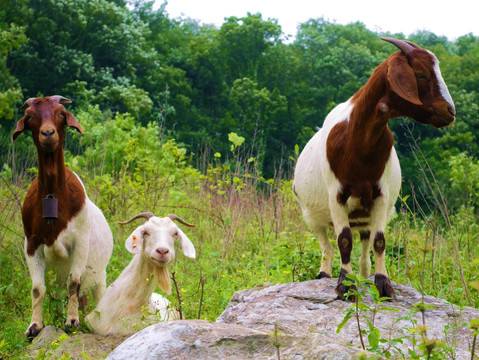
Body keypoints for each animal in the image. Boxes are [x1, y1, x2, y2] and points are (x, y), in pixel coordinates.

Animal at [12, 95, 114, 338]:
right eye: (29, 116)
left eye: (60, 112)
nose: (48, 133)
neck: (52, 193)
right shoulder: (32, 243)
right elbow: (37, 288)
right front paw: (34, 327)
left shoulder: (80, 242)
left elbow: (73, 282)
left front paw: (72, 322)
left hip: (100, 275)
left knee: (96, 295)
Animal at [294, 38, 456, 300]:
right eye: (420, 74)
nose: (450, 112)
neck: (357, 140)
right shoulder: (337, 194)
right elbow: (343, 240)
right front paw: (345, 285)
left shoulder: (380, 195)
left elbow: (379, 242)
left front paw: (383, 284)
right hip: (312, 215)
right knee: (326, 246)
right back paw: (324, 275)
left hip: (364, 217)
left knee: (363, 252)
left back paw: (363, 276)